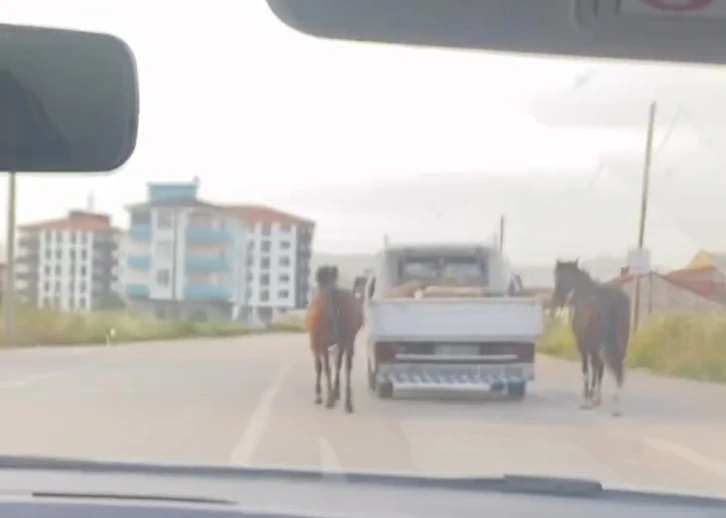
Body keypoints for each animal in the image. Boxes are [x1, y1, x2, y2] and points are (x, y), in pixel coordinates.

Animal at [306, 266, 364, 416]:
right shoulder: (342, 342)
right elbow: (338, 364)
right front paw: (336, 393)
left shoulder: (316, 343)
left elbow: (319, 366)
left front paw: (319, 394)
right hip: (349, 340)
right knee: (346, 365)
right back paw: (347, 403)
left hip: (323, 342)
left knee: (327, 366)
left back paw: (329, 400)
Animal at [556, 260, 632, 418]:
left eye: (557, 279)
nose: (557, 300)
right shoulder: (595, 348)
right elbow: (599, 370)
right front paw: (596, 398)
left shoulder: (585, 346)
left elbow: (588, 369)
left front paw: (587, 399)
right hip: (620, 344)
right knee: (620, 370)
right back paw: (617, 405)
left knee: (616, 370)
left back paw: (615, 407)